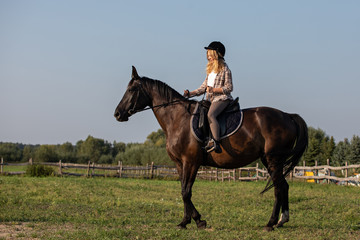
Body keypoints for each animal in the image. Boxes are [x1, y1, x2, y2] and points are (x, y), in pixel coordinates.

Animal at [114, 66, 308, 231]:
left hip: (273, 160)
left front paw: (198, 221)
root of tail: (288, 116)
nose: (117, 114)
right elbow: (183, 190)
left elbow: (186, 192)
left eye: (131, 90)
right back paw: (282, 220)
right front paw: (186, 221)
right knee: (284, 186)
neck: (178, 119)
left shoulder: (191, 162)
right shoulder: (179, 163)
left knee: (278, 188)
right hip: (270, 160)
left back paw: (270, 223)